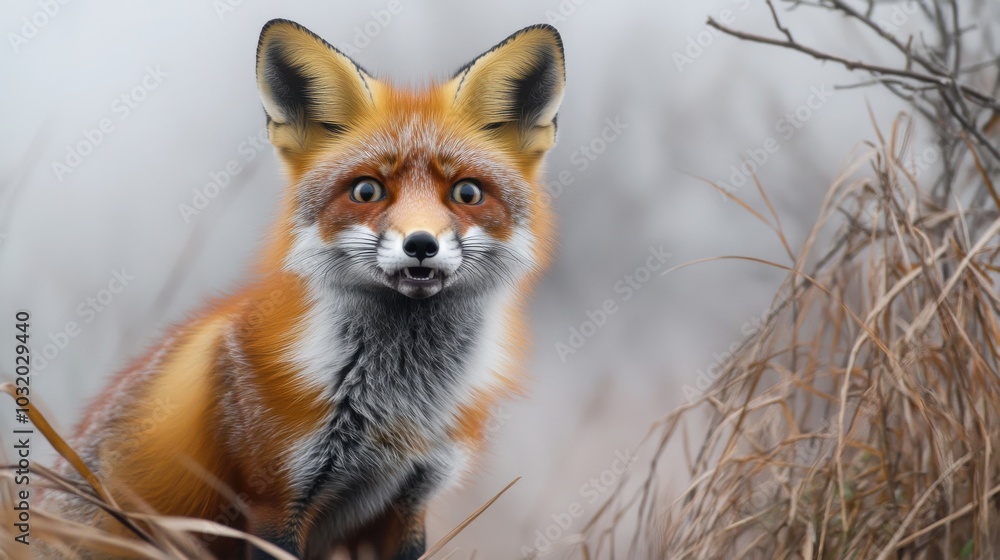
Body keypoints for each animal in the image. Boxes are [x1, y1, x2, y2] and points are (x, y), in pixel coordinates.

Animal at [40, 18, 565, 560]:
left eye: (467, 192)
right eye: (367, 190)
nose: (421, 244)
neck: (401, 404)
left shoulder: (411, 500)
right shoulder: (275, 500)